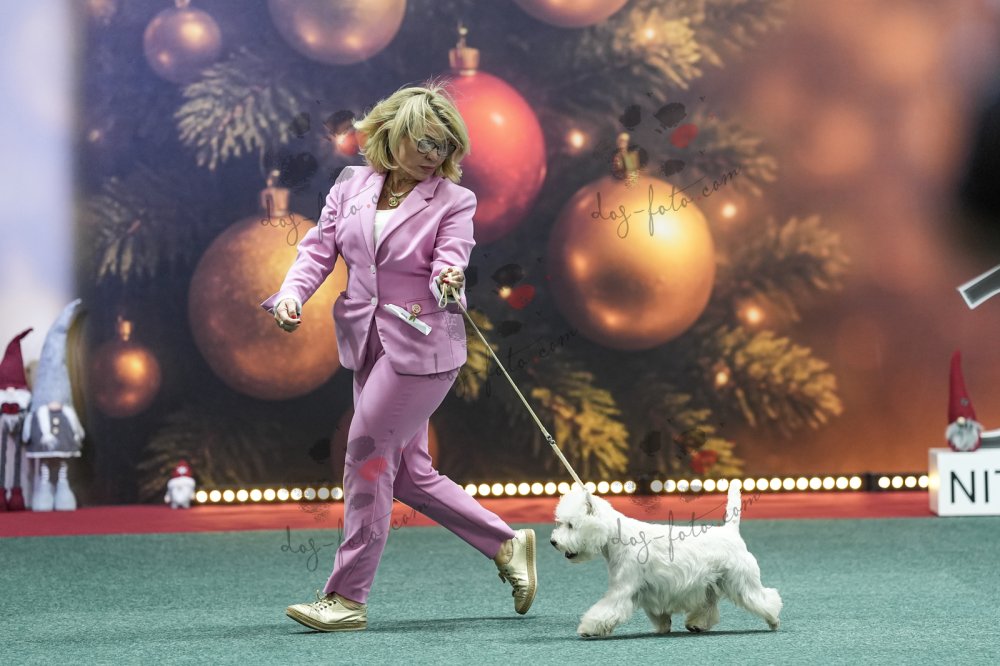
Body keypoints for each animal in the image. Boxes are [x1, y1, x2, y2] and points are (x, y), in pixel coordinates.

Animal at [550, 482, 782, 638]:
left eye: (571, 525)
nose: (553, 541)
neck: (616, 537)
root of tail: (730, 531)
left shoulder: (622, 588)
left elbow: (605, 609)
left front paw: (587, 628)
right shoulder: (649, 591)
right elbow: (658, 613)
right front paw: (664, 626)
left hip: (741, 581)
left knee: (764, 598)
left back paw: (773, 620)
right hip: (710, 583)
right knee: (708, 605)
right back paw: (697, 624)